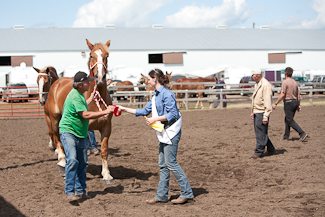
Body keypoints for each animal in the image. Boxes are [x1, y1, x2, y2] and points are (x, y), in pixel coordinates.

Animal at [43, 38, 113, 183]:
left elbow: (104, 150)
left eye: (107, 55)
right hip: (54, 119)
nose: (100, 77)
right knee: (57, 139)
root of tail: (57, 83)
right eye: (91, 55)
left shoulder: (106, 127)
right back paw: (62, 161)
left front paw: (106, 174)